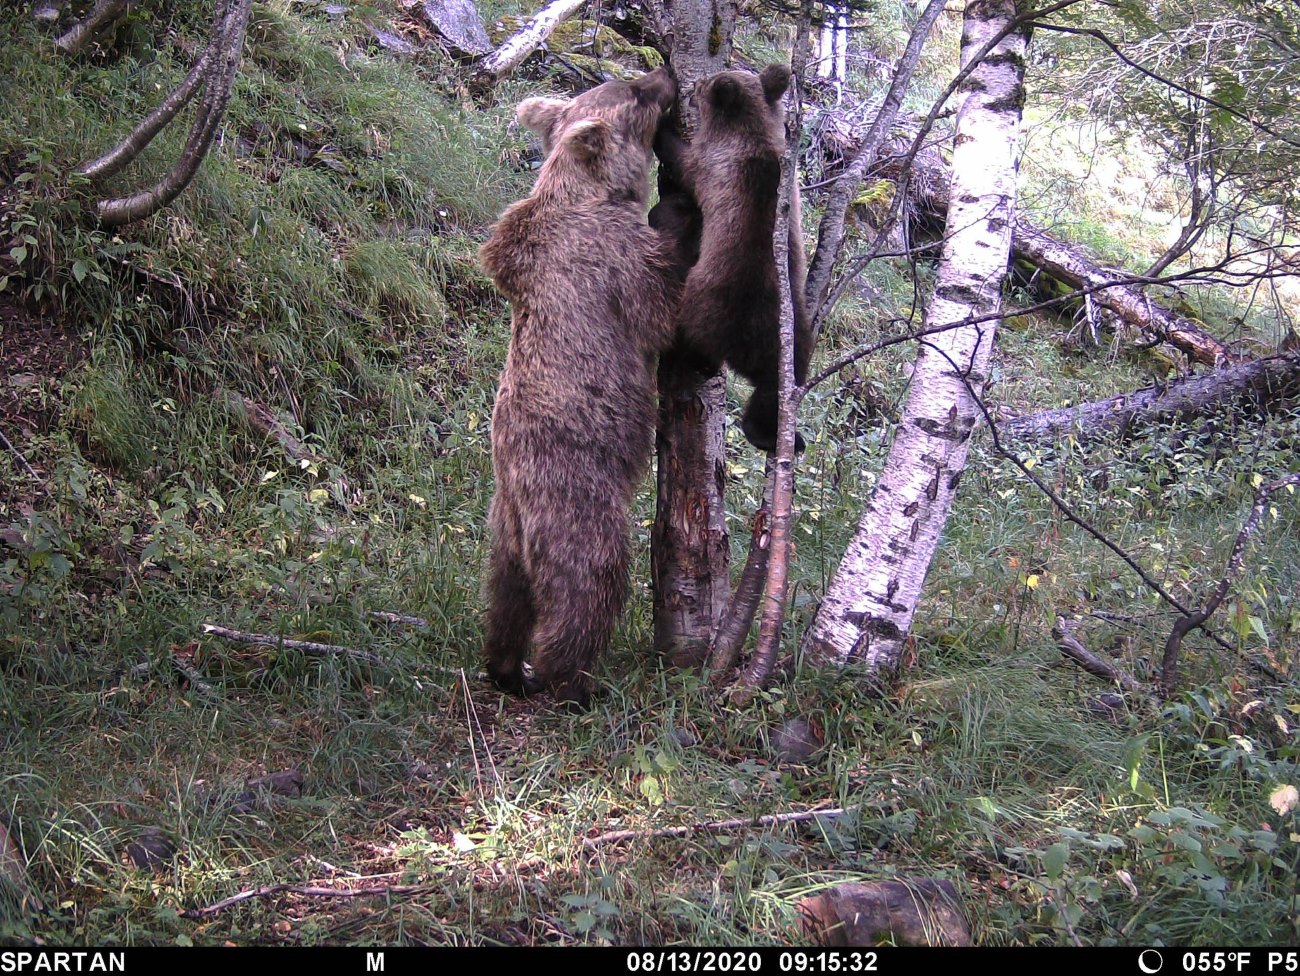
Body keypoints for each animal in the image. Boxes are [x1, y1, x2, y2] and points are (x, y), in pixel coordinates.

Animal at [478, 70, 681, 712]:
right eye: (637, 93)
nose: (666, 75)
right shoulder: (611, 259)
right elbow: (664, 307)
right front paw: (681, 218)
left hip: (503, 532)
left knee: (505, 599)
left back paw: (506, 667)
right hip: (576, 496)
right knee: (588, 585)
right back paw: (572, 681)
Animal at [644, 64, 806, 454]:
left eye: (704, 84)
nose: (697, 84)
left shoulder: (711, 163)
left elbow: (681, 158)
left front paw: (663, 122)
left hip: (704, 305)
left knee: (691, 341)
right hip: (796, 330)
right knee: (781, 384)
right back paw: (775, 434)